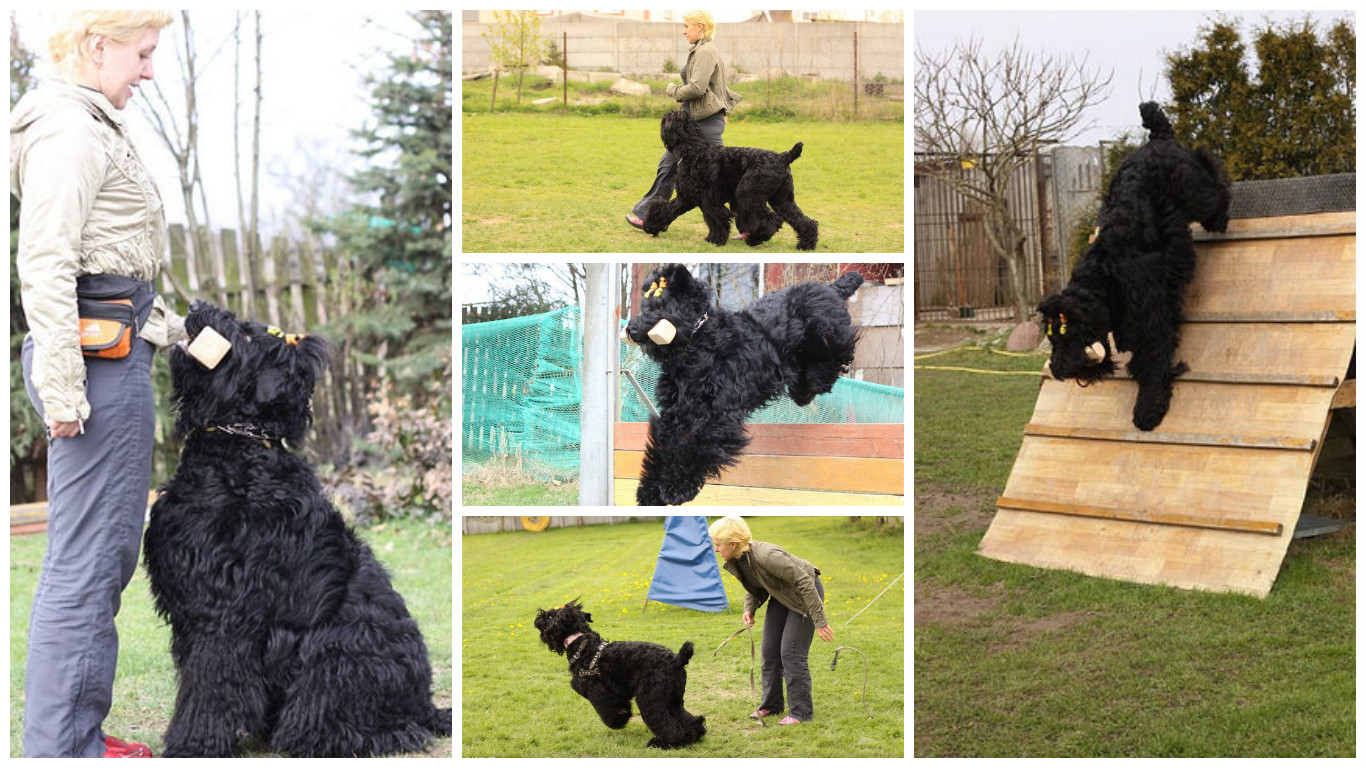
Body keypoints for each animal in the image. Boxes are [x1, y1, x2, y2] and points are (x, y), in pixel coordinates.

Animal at [146, 299, 450, 754]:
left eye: (248, 333)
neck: (238, 449)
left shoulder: (224, 612)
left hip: (336, 653)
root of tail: (426, 705)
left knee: (369, 726)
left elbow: (209, 685)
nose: (197, 305)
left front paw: (193, 744)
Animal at [532, 595, 704, 743]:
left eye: (550, 616)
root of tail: (677, 660)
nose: (538, 616)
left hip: (650, 698)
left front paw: (620, 719)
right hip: (673, 698)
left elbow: (607, 709)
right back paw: (695, 733)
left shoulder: (597, 691)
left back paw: (663, 743)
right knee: (688, 718)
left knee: (665, 723)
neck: (582, 643)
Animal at [622, 259, 857, 505]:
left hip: (825, 333)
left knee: (840, 352)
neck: (699, 340)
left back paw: (815, 381)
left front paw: (677, 488)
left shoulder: (717, 414)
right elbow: (664, 447)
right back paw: (803, 390)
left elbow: (695, 447)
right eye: (645, 306)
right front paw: (650, 491)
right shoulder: (677, 411)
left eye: (661, 307)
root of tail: (831, 288)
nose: (633, 329)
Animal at [642, 108, 819, 248]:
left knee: (771, 220)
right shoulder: (686, 198)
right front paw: (652, 225)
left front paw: (715, 240)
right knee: (800, 219)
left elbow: (716, 219)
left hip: (748, 196)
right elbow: (665, 209)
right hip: (782, 199)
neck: (692, 150)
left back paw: (756, 238)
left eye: (671, 117)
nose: (669, 111)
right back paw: (806, 244)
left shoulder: (709, 200)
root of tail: (783, 157)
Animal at [1038, 100, 1234, 431]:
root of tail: (1158, 137)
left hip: (1193, 189)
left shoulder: (1152, 320)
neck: (1106, 278)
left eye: (1067, 333)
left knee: (1215, 182)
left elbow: (1151, 364)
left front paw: (1148, 410)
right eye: (1051, 337)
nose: (1057, 368)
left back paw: (1219, 218)